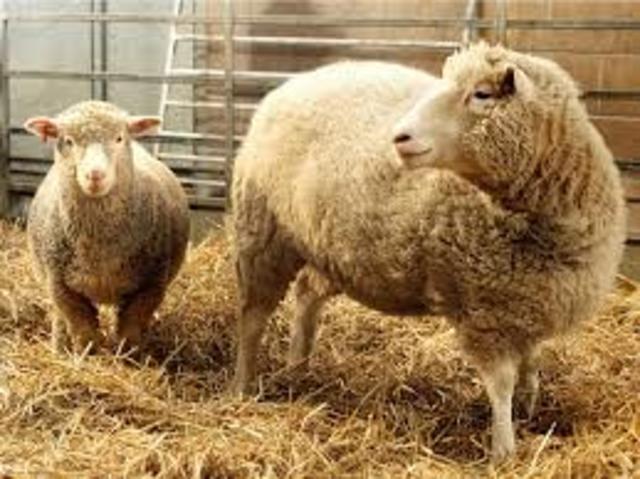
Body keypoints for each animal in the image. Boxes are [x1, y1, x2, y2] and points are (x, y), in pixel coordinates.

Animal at [24, 101, 190, 355]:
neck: (100, 247)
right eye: (68, 140)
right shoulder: (60, 285)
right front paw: (87, 356)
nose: (95, 174)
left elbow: (131, 327)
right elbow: (83, 330)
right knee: (59, 317)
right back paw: (59, 348)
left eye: (119, 138)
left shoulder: (151, 284)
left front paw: (130, 357)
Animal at [230, 43, 627, 461]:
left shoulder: (529, 301)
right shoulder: (483, 311)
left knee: (307, 294)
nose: (399, 137)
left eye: (482, 94)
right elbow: (500, 382)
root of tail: (289, 86)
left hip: (330, 248)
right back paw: (242, 385)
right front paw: (504, 449)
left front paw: (529, 408)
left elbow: (532, 361)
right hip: (263, 235)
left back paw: (298, 367)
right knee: (253, 316)